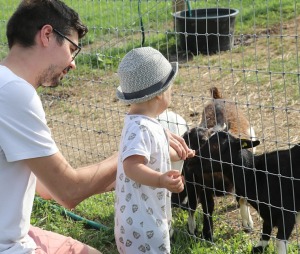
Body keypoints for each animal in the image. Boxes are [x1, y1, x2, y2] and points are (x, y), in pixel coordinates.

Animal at [175, 87, 256, 240]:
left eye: (212, 145)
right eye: (195, 142)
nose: (189, 163)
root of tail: (217, 98)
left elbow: (242, 198)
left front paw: (247, 223)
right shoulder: (202, 185)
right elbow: (207, 207)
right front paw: (206, 233)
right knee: (192, 204)